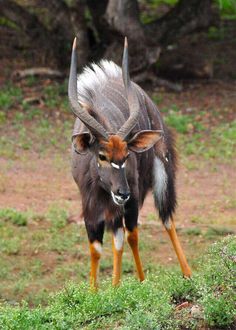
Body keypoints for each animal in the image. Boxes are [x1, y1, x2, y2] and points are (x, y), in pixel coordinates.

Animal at [68, 37, 192, 288]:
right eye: (102, 156)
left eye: (126, 156)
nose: (121, 192)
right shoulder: (90, 205)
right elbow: (96, 248)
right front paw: (97, 291)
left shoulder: (130, 195)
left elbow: (128, 236)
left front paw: (129, 284)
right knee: (123, 234)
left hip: (159, 172)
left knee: (162, 219)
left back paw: (184, 274)